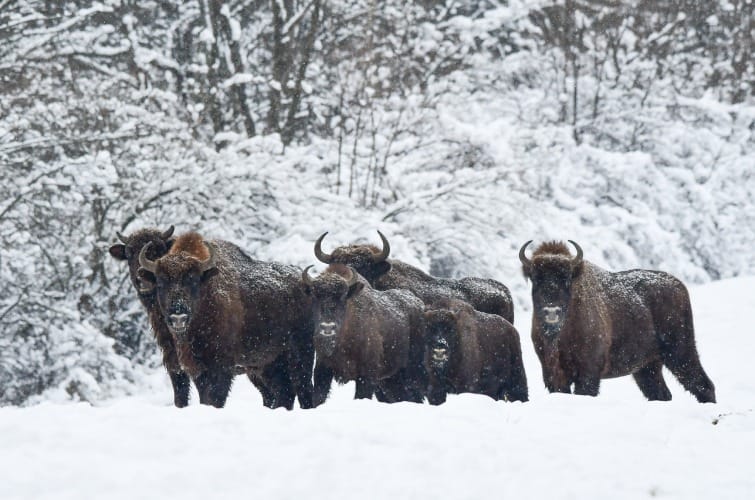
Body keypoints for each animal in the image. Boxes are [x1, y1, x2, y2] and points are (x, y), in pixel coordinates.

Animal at [139, 232, 316, 408]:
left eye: (193, 280)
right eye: (160, 283)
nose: (178, 317)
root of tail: (307, 283)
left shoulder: (221, 366)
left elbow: (215, 398)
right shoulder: (197, 369)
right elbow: (205, 398)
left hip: (301, 352)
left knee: (303, 387)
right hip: (268, 363)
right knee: (284, 391)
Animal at [302, 264, 432, 404]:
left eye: (343, 296)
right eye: (314, 296)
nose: (327, 327)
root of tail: (420, 305)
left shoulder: (366, 374)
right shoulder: (323, 368)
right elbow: (319, 397)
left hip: (413, 369)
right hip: (391, 379)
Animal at [516, 239, 716, 402]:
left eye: (565, 279)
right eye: (536, 279)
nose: (552, 311)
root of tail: (679, 286)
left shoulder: (588, 373)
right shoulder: (554, 375)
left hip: (680, 351)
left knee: (702, 383)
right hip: (647, 366)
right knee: (661, 392)